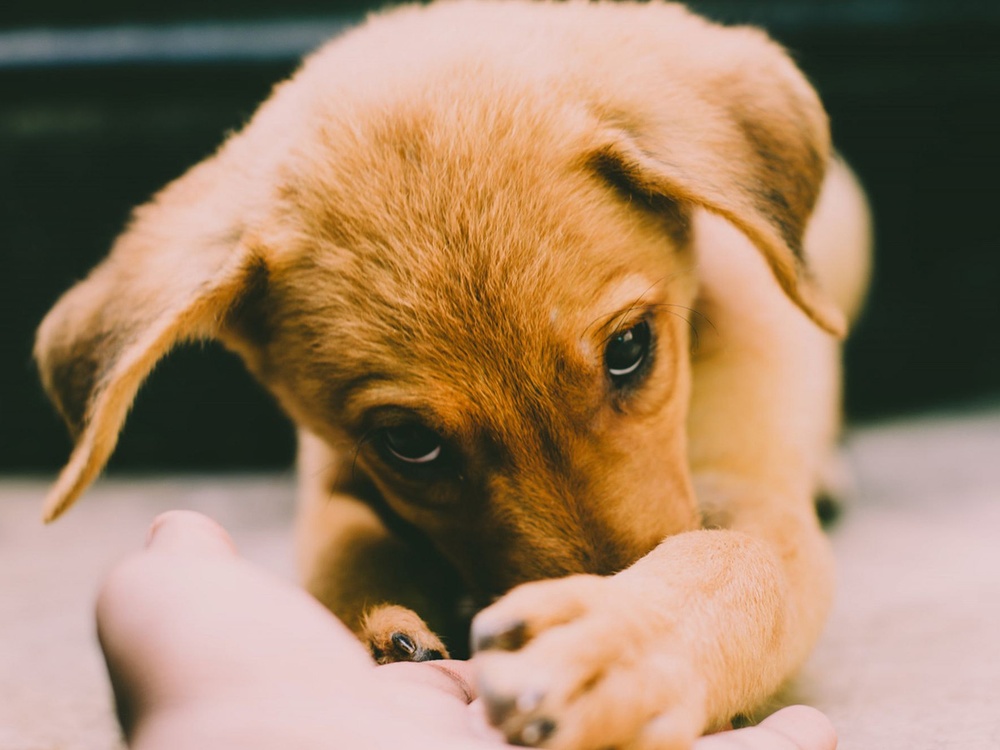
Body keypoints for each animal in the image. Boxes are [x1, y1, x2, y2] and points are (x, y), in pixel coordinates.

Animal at [35, 2, 872, 748]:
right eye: (408, 442)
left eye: (630, 348)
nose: (603, 583)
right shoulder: (337, 482)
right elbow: (346, 558)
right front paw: (384, 636)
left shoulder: (752, 484)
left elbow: (734, 557)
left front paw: (616, 645)